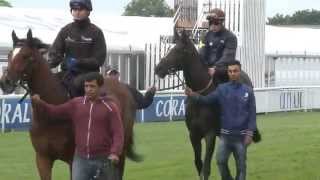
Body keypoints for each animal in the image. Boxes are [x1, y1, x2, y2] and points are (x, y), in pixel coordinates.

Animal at [0, 28, 139, 179]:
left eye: (26, 56)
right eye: (9, 54)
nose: (5, 82)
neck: (52, 113)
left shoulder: (74, 160)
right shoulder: (42, 158)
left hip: (120, 148)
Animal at [154, 31, 262, 180]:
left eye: (179, 50)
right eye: (172, 48)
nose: (158, 68)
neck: (201, 96)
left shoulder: (209, 135)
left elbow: (206, 167)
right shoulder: (194, 134)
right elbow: (198, 163)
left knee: (239, 155)